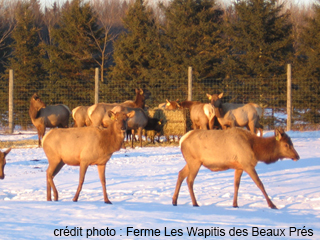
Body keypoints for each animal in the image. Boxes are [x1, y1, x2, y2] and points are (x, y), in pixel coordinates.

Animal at [172, 128, 300, 209]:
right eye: (286, 145)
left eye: (292, 143)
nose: (297, 156)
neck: (255, 149)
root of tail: (181, 140)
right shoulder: (247, 164)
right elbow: (260, 184)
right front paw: (272, 205)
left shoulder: (239, 167)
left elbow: (236, 185)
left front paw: (235, 204)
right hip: (195, 161)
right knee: (189, 180)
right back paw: (195, 203)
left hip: (191, 162)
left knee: (180, 174)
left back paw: (174, 201)